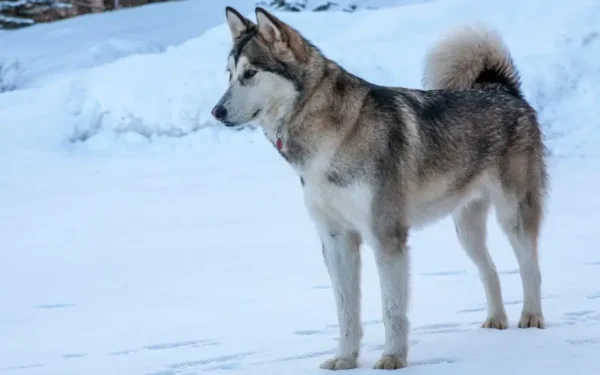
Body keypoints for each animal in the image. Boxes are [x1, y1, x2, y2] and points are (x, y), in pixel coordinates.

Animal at [212, 7, 548, 372]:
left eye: (250, 73)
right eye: (229, 75)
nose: (216, 111)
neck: (331, 139)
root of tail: (502, 89)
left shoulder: (386, 237)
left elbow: (391, 309)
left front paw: (393, 357)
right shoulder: (336, 240)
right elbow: (346, 310)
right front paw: (345, 358)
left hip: (512, 216)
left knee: (531, 268)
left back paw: (531, 318)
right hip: (466, 230)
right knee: (490, 270)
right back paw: (496, 320)